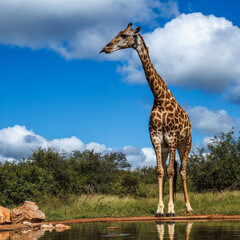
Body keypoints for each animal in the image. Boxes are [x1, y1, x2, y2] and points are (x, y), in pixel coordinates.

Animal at [99, 23, 193, 217]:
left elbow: (172, 171)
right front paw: (160, 209)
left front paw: (171, 209)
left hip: (185, 144)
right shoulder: (156, 138)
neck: (159, 97)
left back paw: (188, 207)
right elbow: (160, 172)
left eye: (124, 35)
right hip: (166, 148)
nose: (105, 48)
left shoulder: (172, 137)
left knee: (182, 171)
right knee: (169, 170)